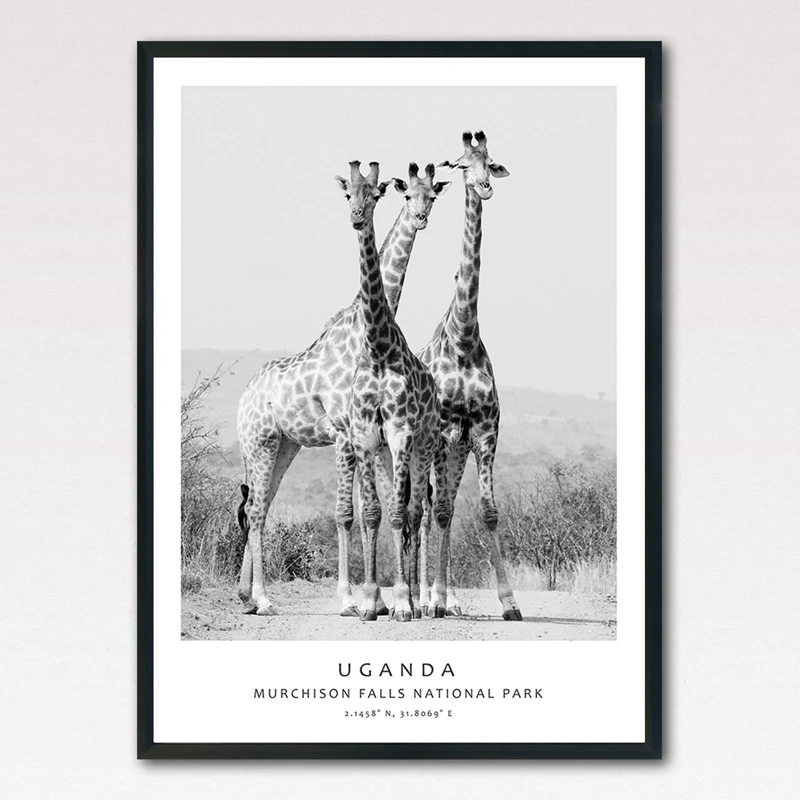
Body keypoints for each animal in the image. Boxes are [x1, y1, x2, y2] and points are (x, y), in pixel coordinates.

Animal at [236, 162, 449, 616]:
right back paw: (262, 598)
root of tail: (244, 395)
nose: (421, 218)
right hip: (259, 442)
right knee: (256, 508)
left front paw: (383, 601)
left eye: (432, 195)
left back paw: (246, 595)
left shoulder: (373, 436)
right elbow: (345, 513)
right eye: (407, 195)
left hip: (284, 444)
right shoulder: (344, 432)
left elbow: (381, 507)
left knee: (260, 504)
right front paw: (352, 599)